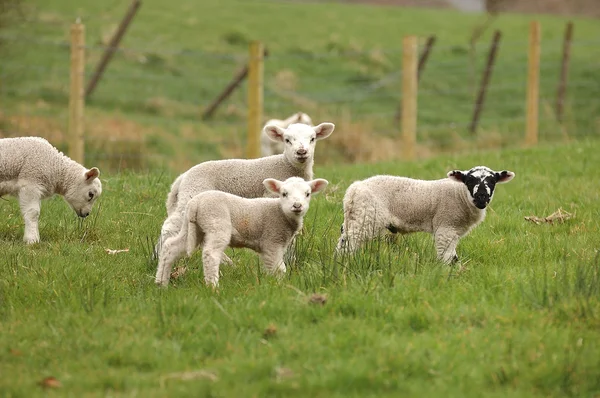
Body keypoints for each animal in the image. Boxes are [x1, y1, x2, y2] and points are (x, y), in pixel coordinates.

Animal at [156, 176, 328, 286]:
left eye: (307, 194)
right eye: (284, 194)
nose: (297, 206)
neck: (280, 212)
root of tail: (195, 203)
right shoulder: (272, 241)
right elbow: (279, 268)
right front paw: (279, 286)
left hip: (192, 227)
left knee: (171, 246)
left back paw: (161, 283)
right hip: (217, 223)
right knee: (210, 254)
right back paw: (213, 286)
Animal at [336, 166, 512, 262]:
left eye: (492, 181)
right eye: (469, 180)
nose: (482, 197)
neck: (460, 195)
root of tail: (353, 190)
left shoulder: (453, 230)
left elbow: (452, 255)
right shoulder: (446, 227)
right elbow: (447, 257)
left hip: (354, 218)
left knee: (343, 242)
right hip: (366, 218)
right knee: (350, 245)